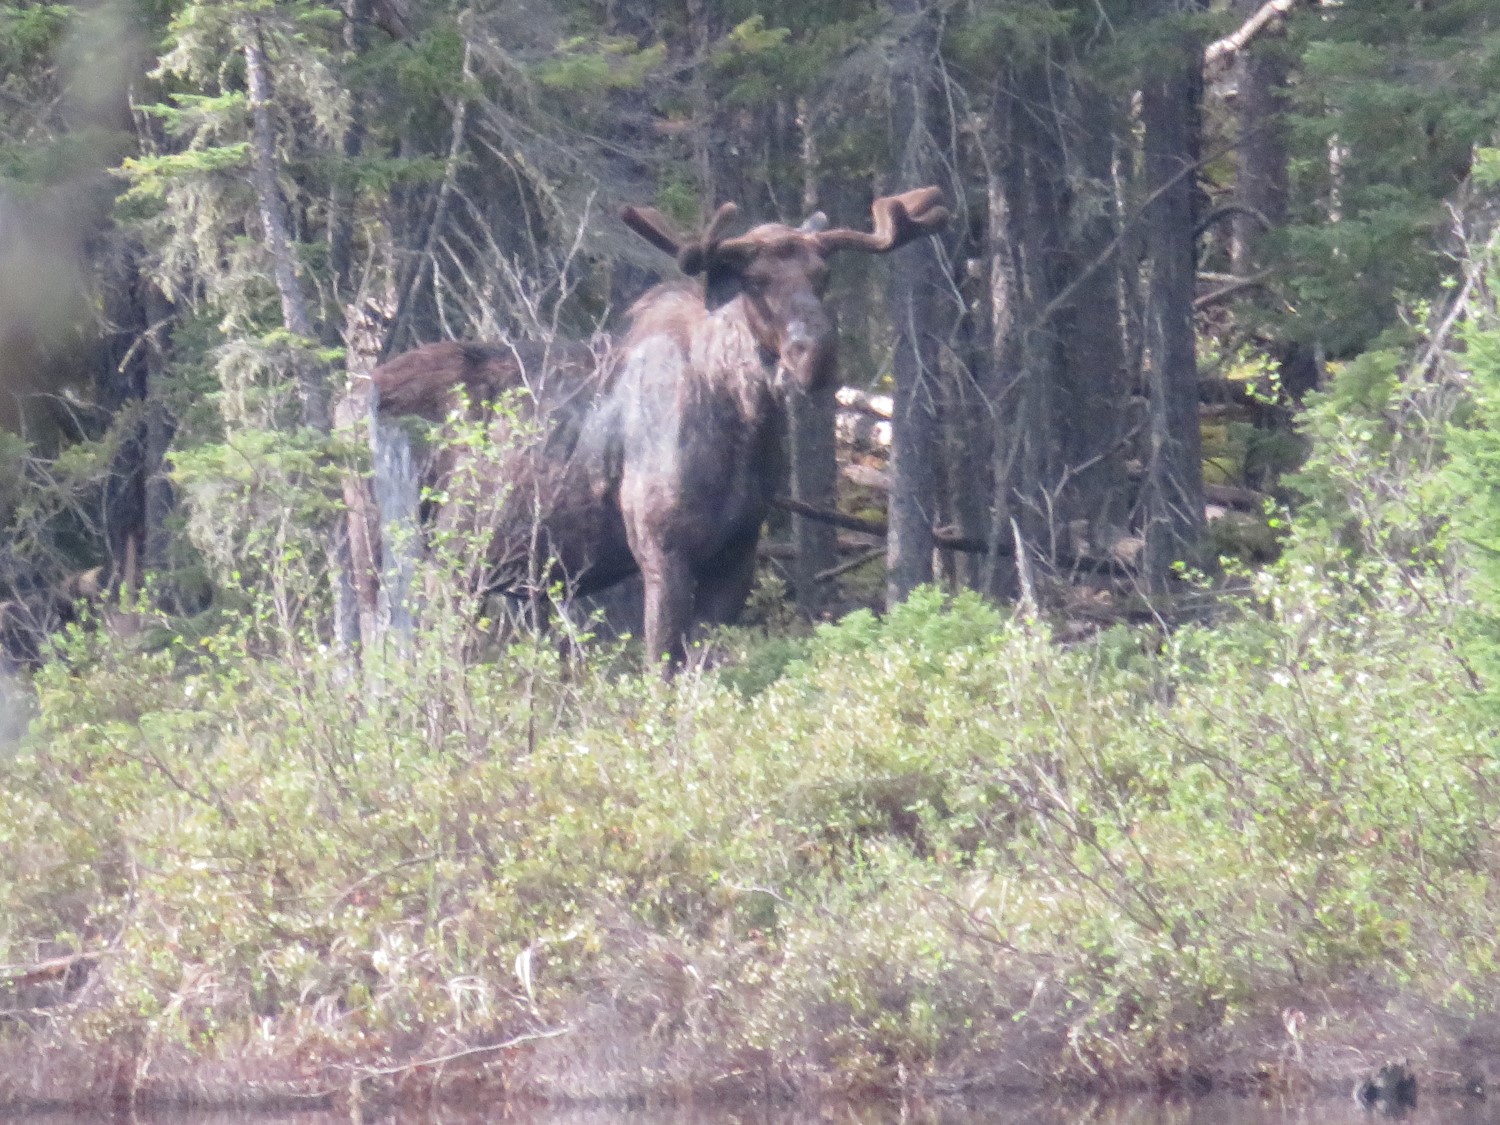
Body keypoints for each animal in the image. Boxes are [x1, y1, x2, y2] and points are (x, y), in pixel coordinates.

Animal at [345, 188, 942, 669]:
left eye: (823, 276)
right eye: (754, 281)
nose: (815, 355)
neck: (743, 427)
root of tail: (348, 402)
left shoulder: (738, 553)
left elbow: (704, 668)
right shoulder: (661, 550)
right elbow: (661, 668)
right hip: (383, 548)